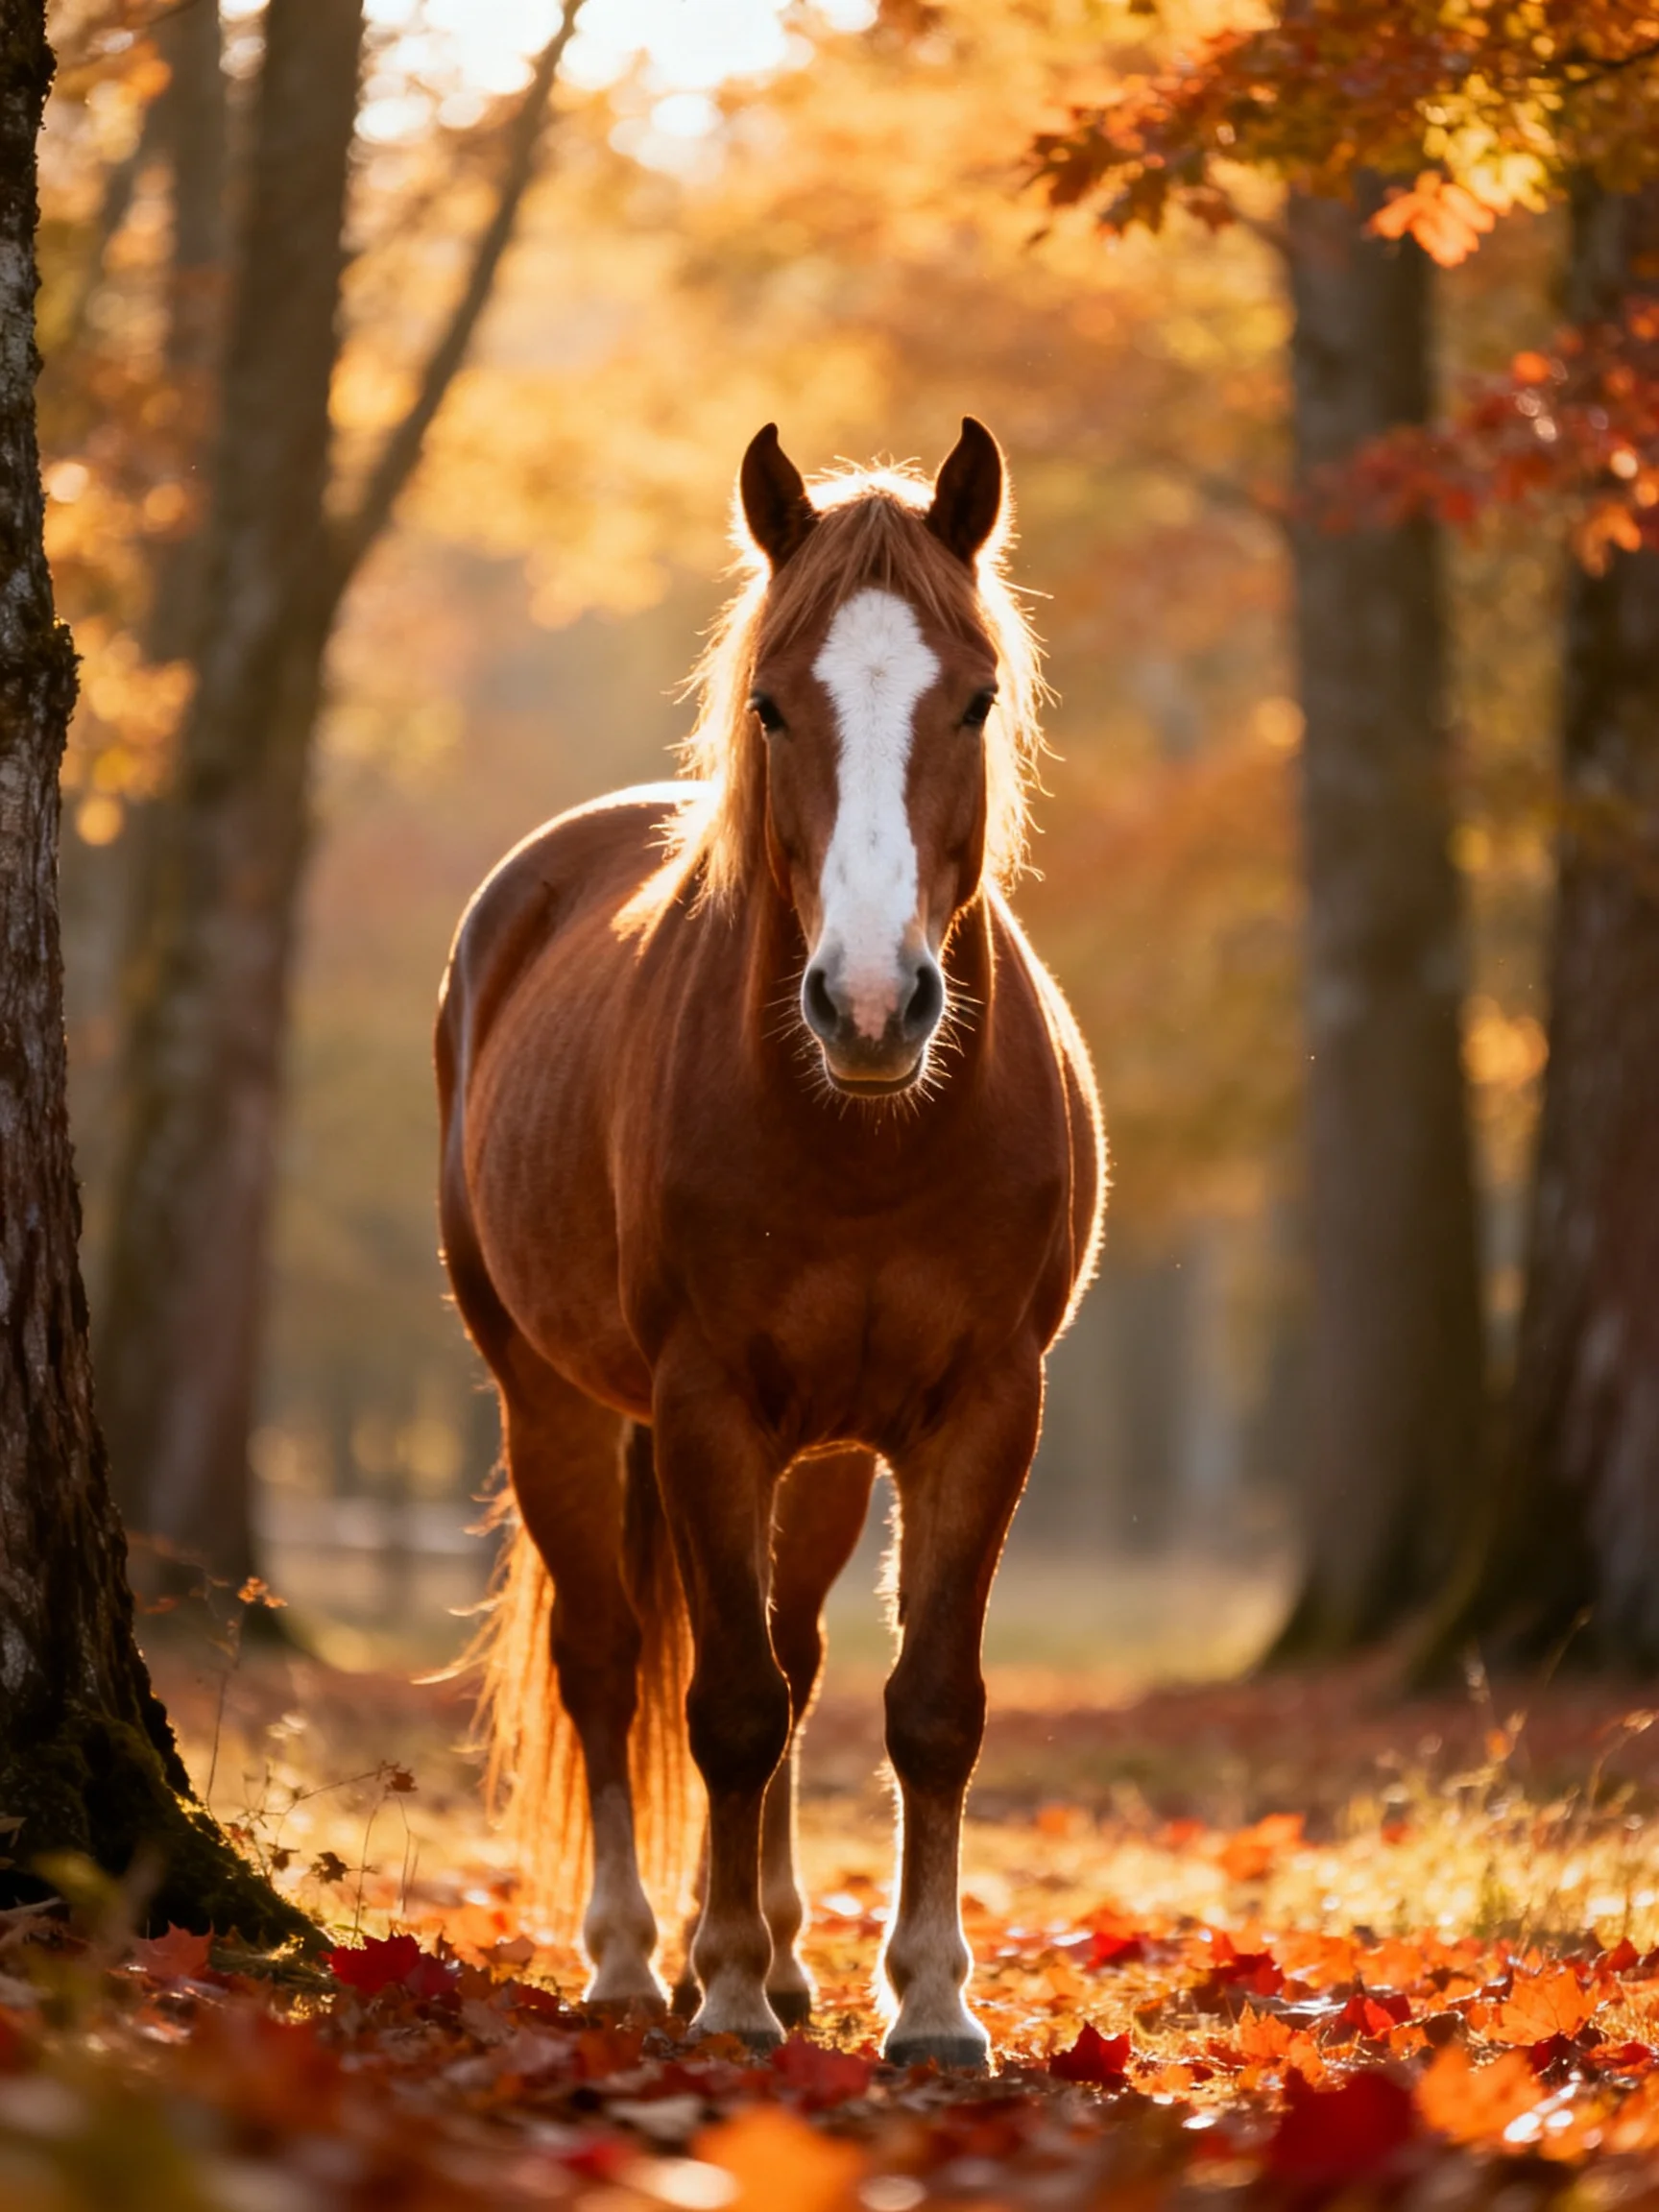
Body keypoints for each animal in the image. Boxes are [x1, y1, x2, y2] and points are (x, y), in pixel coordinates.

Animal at [436, 418, 1105, 2068]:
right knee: (613, 1664)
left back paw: (790, 1961)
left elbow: (927, 1704)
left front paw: (929, 2002)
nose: (870, 1005)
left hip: (825, 1458)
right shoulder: (704, 1410)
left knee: (796, 1664)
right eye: (769, 704)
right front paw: (725, 1988)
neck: (869, 1135)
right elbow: (722, 1705)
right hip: (549, 1402)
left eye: (976, 696)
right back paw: (634, 1963)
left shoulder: (983, 1410)